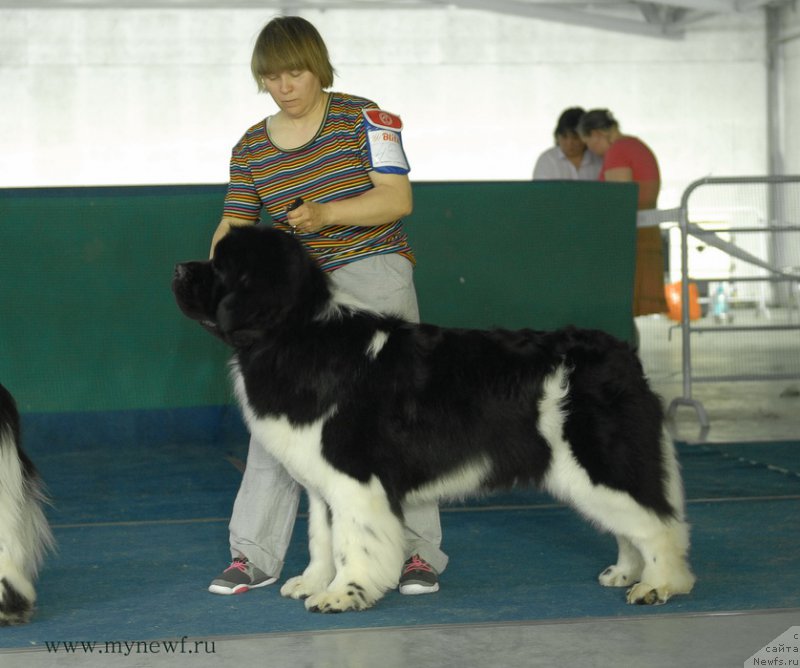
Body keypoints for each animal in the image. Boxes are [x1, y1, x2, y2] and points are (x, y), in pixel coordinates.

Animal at [173, 227, 692, 612]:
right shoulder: (323, 483)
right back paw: (626, 571)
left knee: (657, 522)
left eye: (220, 267)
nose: (178, 268)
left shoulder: (355, 479)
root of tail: (623, 353)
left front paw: (344, 593)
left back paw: (659, 584)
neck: (293, 334)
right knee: (633, 522)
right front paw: (312, 582)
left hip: (600, 462)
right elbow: (322, 537)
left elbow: (353, 540)